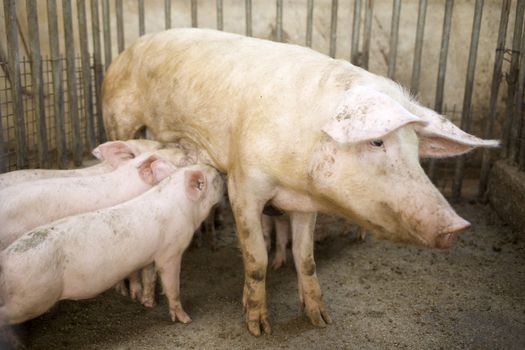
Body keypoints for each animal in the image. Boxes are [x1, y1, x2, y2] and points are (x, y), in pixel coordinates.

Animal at [0, 164, 223, 326]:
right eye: (214, 179)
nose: (222, 172)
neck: (184, 207)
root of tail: (5, 259)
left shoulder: (150, 254)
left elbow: (149, 277)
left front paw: (148, 304)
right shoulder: (170, 252)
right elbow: (172, 285)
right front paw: (186, 319)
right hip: (31, 298)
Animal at [101, 28, 496, 334]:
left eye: (416, 151)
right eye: (377, 142)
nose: (458, 225)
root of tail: (126, 50)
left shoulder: (306, 203)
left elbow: (305, 259)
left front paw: (320, 320)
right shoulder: (244, 187)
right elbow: (256, 259)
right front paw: (258, 328)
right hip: (117, 118)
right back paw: (128, 291)